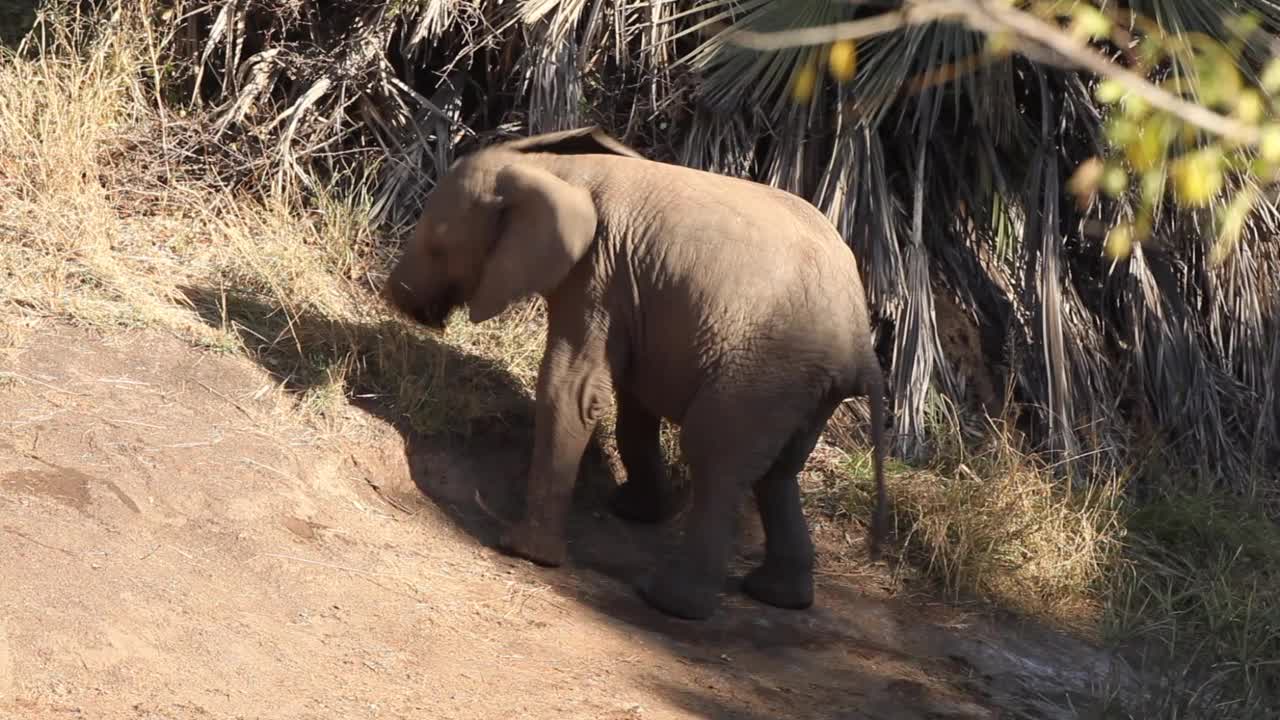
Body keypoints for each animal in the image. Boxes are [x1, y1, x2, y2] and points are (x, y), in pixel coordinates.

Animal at [384, 126, 885, 620]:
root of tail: (860, 345)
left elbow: (573, 390)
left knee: (716, 459)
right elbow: (631, 404)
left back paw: (668, 602)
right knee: (778, 472)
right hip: (804, 386)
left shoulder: (596, 273)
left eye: (437, 245)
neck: (552, 170)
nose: (398, 300)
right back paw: (778, 596)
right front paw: (632, 511)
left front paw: (524, 552)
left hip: (764, 370)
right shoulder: (630, 286)